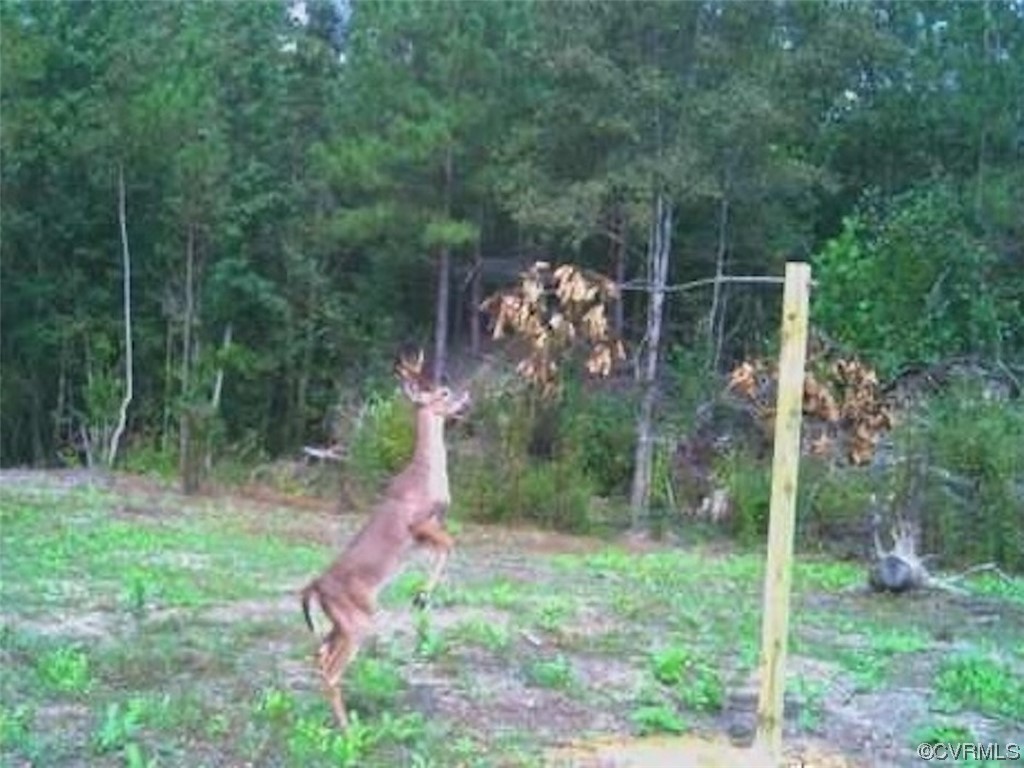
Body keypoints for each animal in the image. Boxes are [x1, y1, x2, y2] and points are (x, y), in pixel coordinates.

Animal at [299, 349, 470, 728]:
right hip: (356, 621)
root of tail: (315, 586)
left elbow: (445, 548)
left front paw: (421, 596)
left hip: (340, 622)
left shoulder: (423, 536)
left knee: (320, 654)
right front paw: (422, 596)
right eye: (443, 393)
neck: (428, 476)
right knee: (330, 667)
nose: (466, 397)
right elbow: (451, 544)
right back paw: (347, 729)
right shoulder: (419, 524)